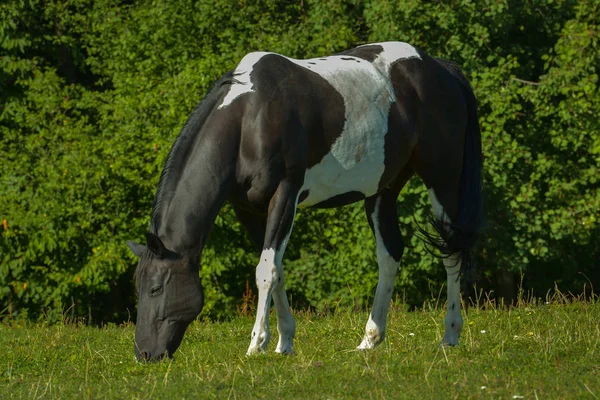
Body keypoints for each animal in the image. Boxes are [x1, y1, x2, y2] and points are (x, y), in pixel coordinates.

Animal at [125, 42, 482, 360]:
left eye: (156, 288)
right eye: (138, 288)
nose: (145, 354)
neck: (249, 119)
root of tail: (439, 68)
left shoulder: (286, 194)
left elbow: (266, 270)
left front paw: (257, 344)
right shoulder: (250, 210)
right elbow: (277, 269)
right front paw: (284, 342)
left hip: (442, 180)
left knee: (451, 252)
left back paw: (450, 335)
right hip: (384, 190)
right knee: (390, 254)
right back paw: (370, 339)